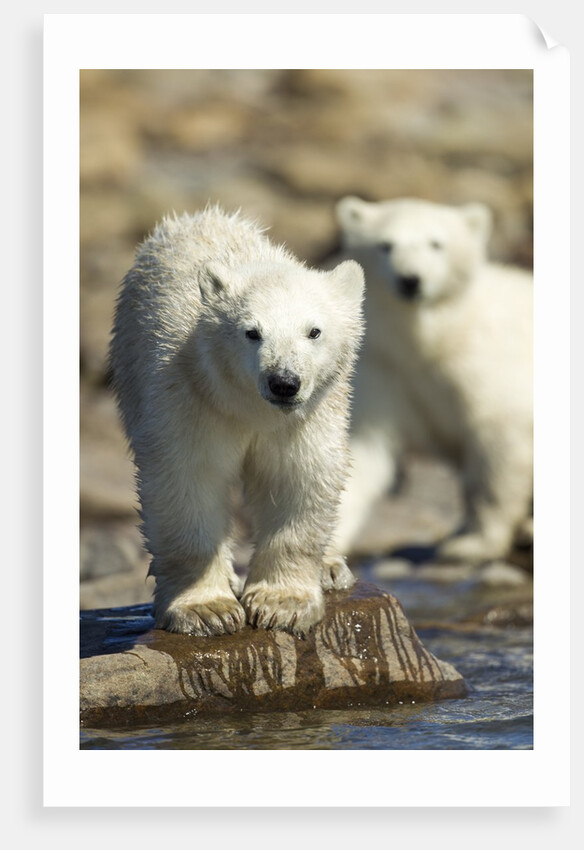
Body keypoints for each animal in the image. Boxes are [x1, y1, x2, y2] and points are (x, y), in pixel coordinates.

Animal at [109, 206, 365, 637]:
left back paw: (330, 567)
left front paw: (283, 604)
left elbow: (299, 478)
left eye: (314, 331)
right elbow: (187, 482)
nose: (284, 382)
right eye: (252, 332)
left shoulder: (307, 418)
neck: (250, 407)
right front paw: (207, 609)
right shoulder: (188, 396)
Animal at [330, 196, 533, 565]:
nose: (410, 280)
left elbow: (498, 442)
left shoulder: (484, 367)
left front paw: (474, 543)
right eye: (385, 244)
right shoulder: (385, 369)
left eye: (436, 243)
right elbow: (362, 446)